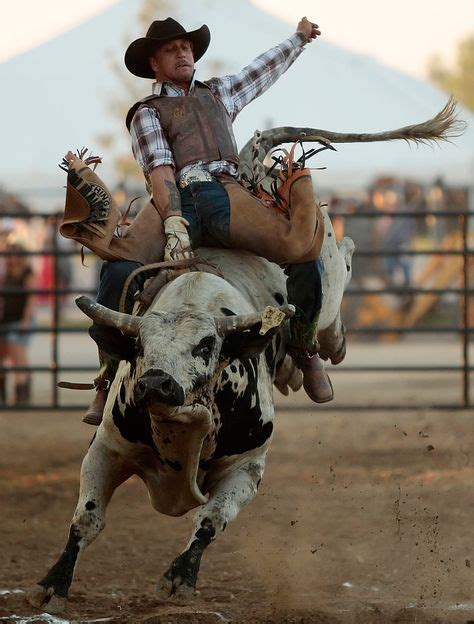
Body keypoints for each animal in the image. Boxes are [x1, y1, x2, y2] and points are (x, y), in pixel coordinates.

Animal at [25, 212, 352, 612]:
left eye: (206, 345)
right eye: (139, 345)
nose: (155, 384)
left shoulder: (246, 468)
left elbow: (210, 519)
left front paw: (179, 578)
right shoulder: (106, 449)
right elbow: (87, 519)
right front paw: (53, 584)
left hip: (326, 277)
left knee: (334, 290)